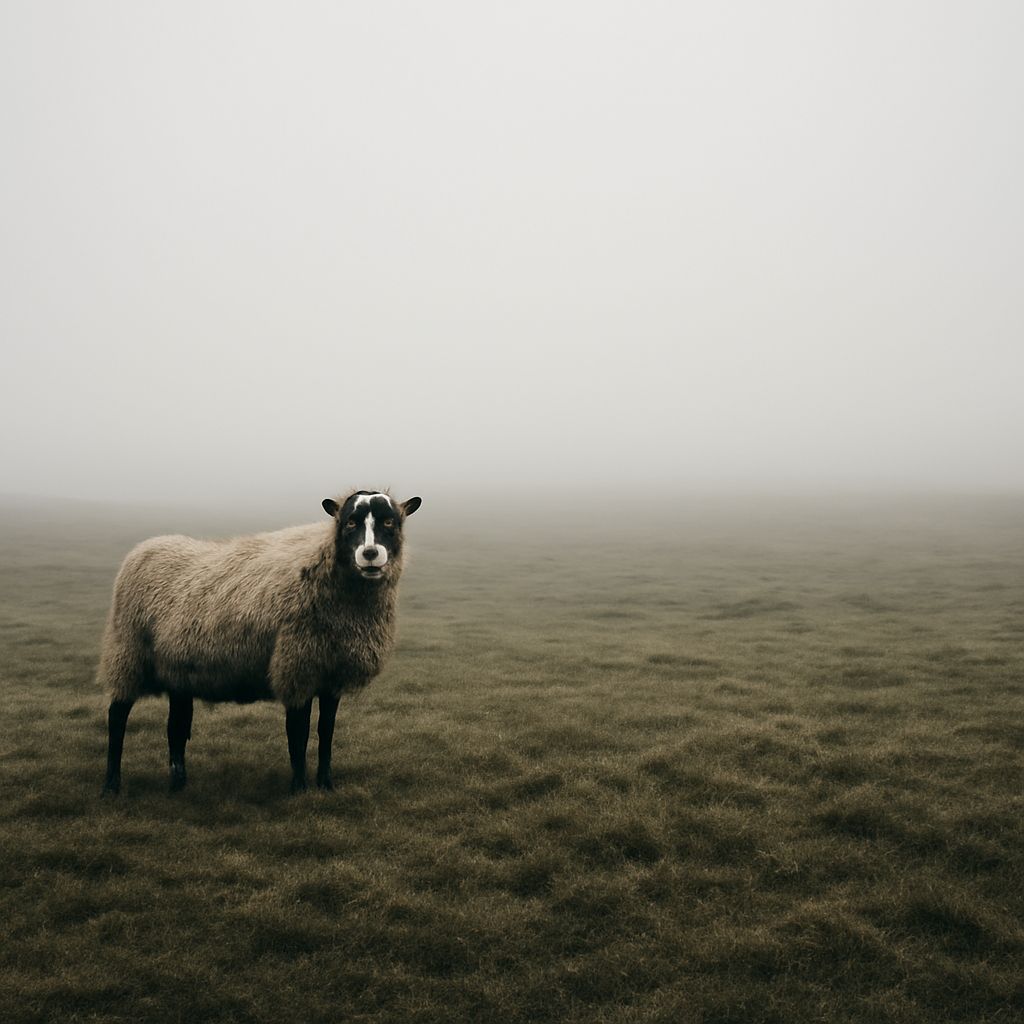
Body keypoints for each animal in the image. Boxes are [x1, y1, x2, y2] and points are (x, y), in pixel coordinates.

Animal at [98, 490, 421, 795]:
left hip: (179, 669)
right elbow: (298, 733)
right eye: (349, 522)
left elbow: (326, 732)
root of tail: (144, 547)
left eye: (390, 521)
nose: (370, 553)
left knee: (175, 727)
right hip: (127, 653)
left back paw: (178, 784)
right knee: (117, 718)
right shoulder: (296, 667)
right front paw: (299, 788)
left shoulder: (331, 676)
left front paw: (326, 784)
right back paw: (111, 785)